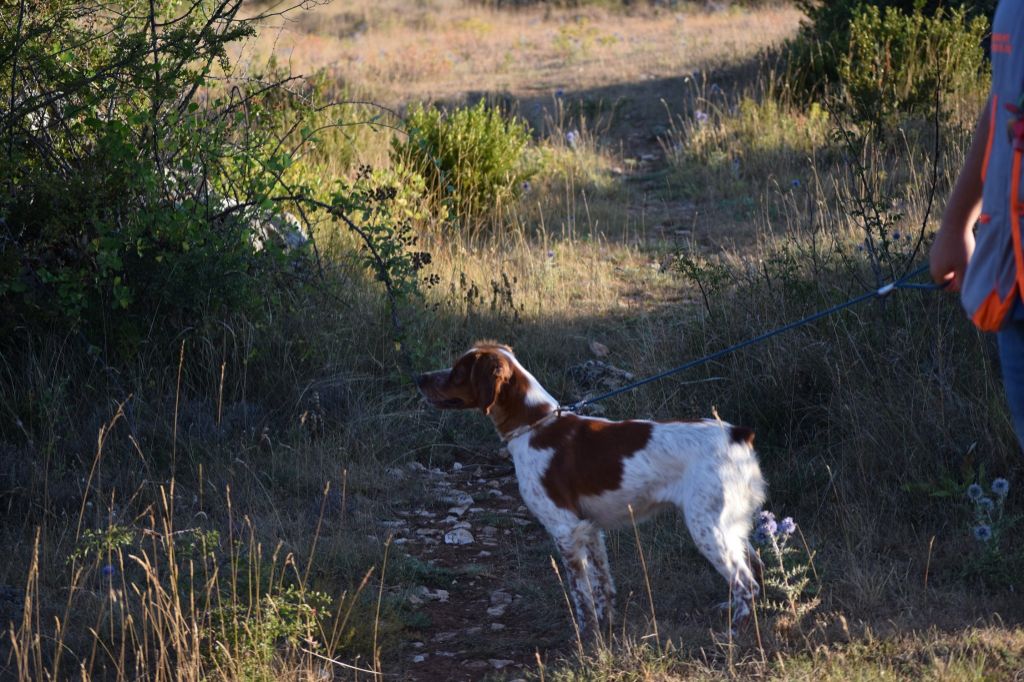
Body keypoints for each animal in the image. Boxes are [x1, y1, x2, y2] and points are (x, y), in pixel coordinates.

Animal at [417, 342, 770, 634]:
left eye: (458, 370)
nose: (420, 377)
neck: (533, 426)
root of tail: (738, 434)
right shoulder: (591, 528)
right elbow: (603, 588)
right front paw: (607, 626)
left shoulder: (565, 529)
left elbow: (581, 596)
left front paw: (587, 640)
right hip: (732, 525)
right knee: (756, 570)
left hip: (707, 527)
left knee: (746, 583)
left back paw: (732, 636)